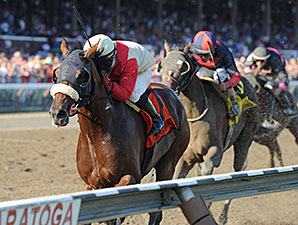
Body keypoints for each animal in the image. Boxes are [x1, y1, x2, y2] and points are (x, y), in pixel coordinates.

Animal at [48, 40, 190, 225]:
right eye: (56, 73)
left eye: (82, 76)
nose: (57, 113)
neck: (98, 135)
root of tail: (173, 94)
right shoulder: (91, 184)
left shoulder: (131, 177)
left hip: (169, 161)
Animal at [158, 41, 260, 224]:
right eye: (162, 64)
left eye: (183, 66)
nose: (167, 88)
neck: (194, 115)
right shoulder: (185, 158)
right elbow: (178, 179)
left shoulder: (214, 154)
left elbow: (207, 177)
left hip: (246, 137)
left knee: (239, 170)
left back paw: (223, 215)